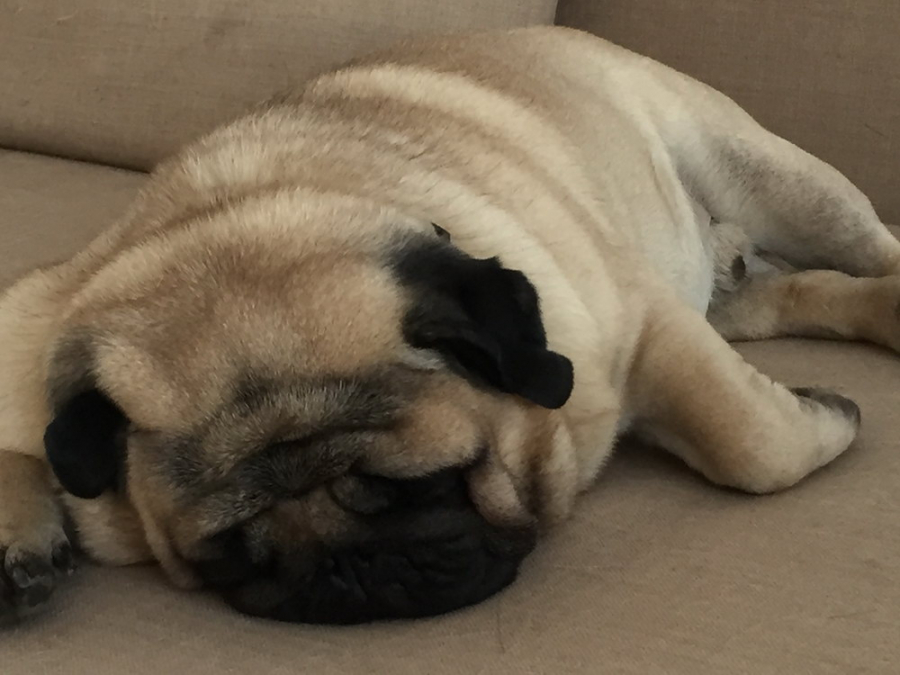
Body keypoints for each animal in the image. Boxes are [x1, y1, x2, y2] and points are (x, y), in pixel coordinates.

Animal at [2, 26, 897, 625]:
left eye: (423, 485)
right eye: (228, 550)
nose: (344, 572)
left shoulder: (647, 323)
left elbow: (749, 439)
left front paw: (821, 418)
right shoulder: (35, 333)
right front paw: (22, 536)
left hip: (771, 177)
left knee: (871, 248)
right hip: (736, 283)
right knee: (792, 292)